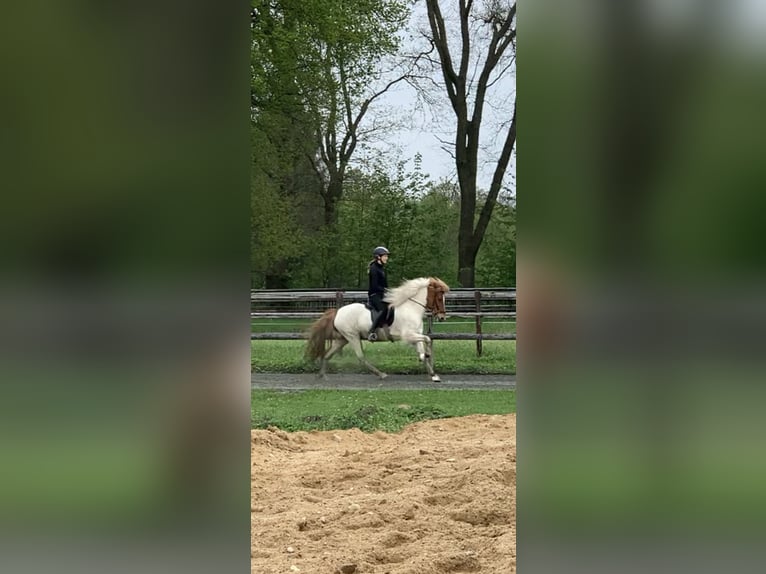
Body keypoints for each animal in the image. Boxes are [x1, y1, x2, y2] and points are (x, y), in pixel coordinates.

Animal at [306, 278, 450, 382]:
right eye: (439, 298)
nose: (442, 317)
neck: (411, 308)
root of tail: (337, 312)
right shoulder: (408, 336)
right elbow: (428, 339)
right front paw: (427, 356)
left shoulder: (416, 335)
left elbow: (423, 345)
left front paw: (433, 374)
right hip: (352, 337)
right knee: (361, 357)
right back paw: (381, 374)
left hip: (343, 339)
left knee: (327, 355)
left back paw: (322, 375)